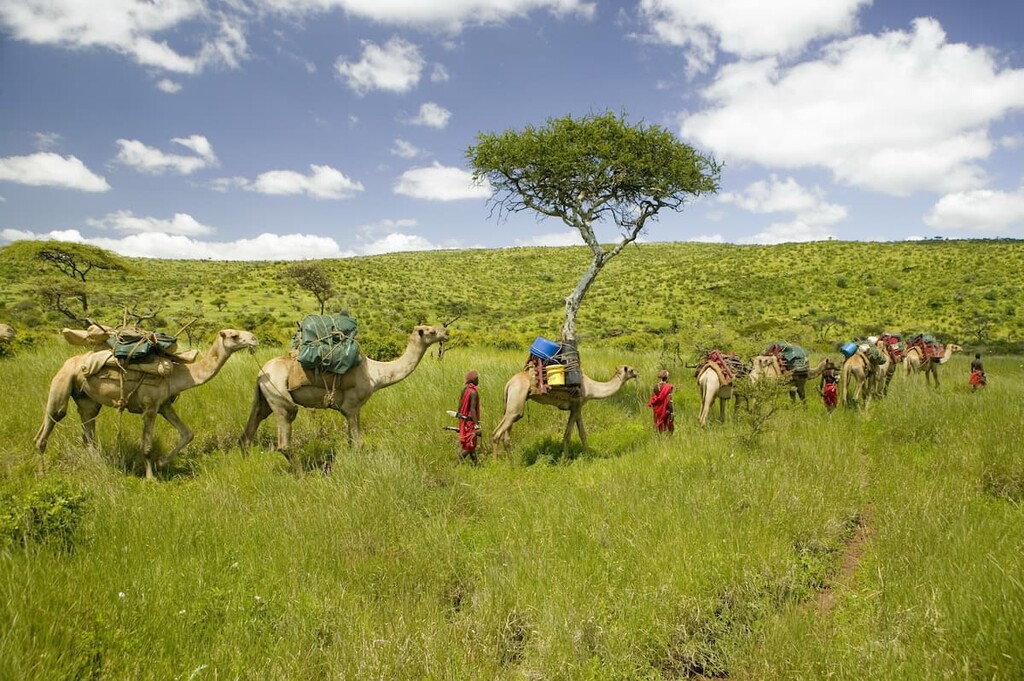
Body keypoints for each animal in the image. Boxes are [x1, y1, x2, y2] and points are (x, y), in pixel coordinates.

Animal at [34, 329, 258, 479]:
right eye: (234, 336)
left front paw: (161, 463)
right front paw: (151, 477)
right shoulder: (149, 406)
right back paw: (42, 473)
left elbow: (187, 433)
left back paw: (101, 467)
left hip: (87, 400)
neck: (178, 375)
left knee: (87, 434)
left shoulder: (164, 405)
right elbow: (147, 445)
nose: (254, 339)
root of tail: (69, 363)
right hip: (62, 382)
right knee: (50, 424)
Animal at [240, 325, 448, 474]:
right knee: (284, 436)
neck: (376, 374)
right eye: (430, 331)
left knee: (251, 426)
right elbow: (358, 443)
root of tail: (260, 374)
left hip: (263, 397)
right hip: (279, 397)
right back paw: (301, 474)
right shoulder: (351, 406)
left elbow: (351, 441)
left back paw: (247, 463)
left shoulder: (354, 409)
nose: (446, 333)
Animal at [492, 365, 639, 459]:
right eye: (631, 369)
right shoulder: (575, 406)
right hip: (517, 401)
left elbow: (582, 434)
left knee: (504, 435)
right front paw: (565, 461)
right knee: (497, 433)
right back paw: (496, 463)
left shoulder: (578, 407)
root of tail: (508, 383)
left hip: (510, 404)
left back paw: (512, 464)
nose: (638, 372)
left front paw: (588, 456)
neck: (591, 388)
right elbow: (567, 435)